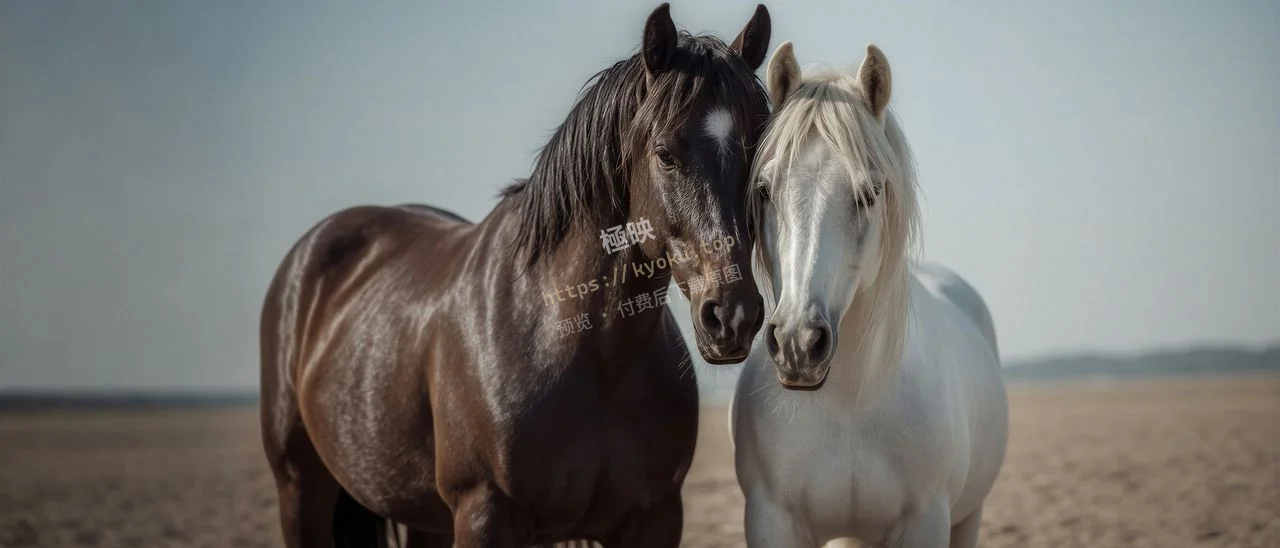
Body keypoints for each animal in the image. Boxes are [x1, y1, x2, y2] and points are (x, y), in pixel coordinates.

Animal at [259, 3, 774, 547]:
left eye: (757, 152)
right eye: (665, 153)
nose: (732, 314)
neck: (574, 342)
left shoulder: (655, 517)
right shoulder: (484, 513)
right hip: (301, 487)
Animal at [729, 41, 1009, 548]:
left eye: (870, 193)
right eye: (763, 190)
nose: (798, 343)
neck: (849, 404)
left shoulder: (926, 522)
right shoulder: (771, 520)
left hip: (969, 517)